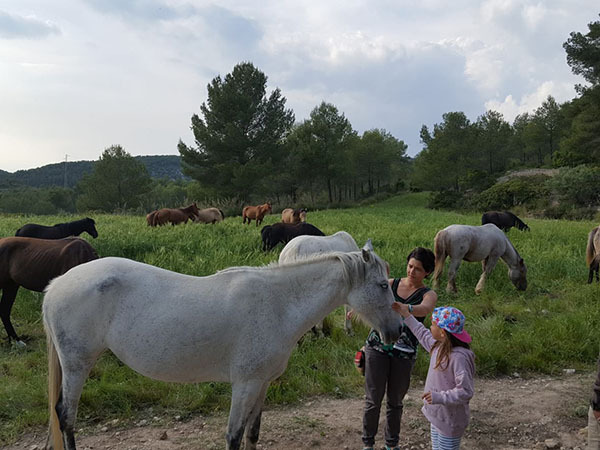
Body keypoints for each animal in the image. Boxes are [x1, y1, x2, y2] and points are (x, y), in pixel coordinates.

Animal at [42, 241, 398, 450]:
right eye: (383, 285)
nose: (395, 331)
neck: (278, 303)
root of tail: (56, 284)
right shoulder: (244, 384)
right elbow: (234, 435)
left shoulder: (261, 384)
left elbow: (252, 433)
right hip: (77, 365)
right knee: (66, 416)